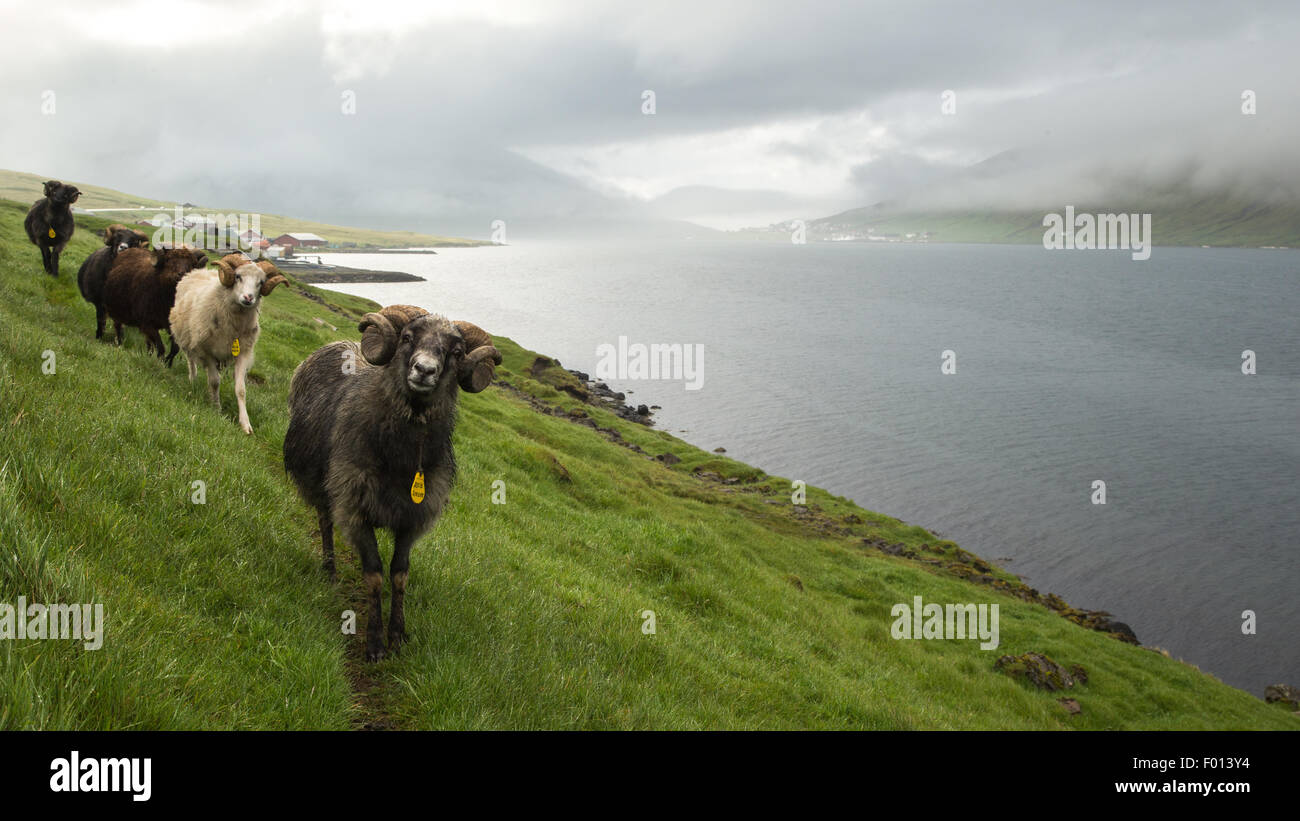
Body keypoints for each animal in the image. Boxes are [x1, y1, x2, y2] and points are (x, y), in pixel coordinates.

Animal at [170, 252, 287, 433]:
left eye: (261, 282)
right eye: (238, 276)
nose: (248, 298)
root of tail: (199, 271)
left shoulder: (243, 353)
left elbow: (241, 390)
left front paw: (245, 424)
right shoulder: (207, 351)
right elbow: (214, 382)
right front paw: (216, 408)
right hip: (187, 339)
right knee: (191, 360)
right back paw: (193, 379)